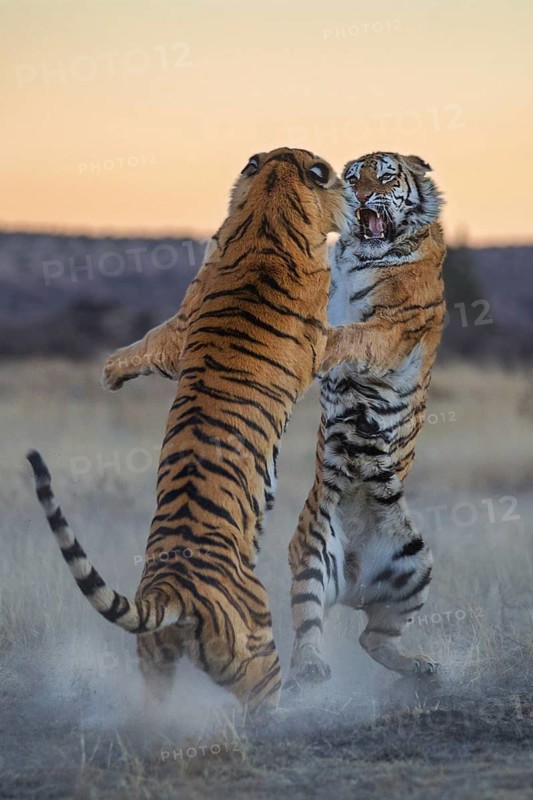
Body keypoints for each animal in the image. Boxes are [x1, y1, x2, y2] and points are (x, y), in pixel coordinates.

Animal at [27, 147, 353, 714]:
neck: (270, 201)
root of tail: (171, 590)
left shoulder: (178, 331)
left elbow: (142, 345)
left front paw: (108, 374)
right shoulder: (319, 342)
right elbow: (359, 338)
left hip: (154, 661)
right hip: (258, 654)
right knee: (263, 703)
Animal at [285, 151, 446, 691]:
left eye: (386, 174)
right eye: (352, 177)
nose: (359, 197)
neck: (362, 256)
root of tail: (354, 580)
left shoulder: (391, 327)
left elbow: (350, 335)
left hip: (415, 563)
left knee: (372, 638)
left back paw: (422, 668)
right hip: (312, 552)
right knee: (313, 626)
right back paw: (311, 668)